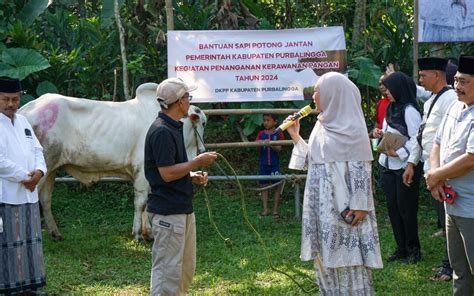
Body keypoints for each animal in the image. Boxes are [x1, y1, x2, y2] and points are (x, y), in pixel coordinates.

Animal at [19, 82, 206, 240]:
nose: (203, 150)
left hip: (51, 169)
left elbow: (148, 204)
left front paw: (149, 233)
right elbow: (141, 203)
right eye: (203, 123)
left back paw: (56, 233)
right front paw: (138, 234)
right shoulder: (141, 171)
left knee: (45, 199)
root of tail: (26, 109)